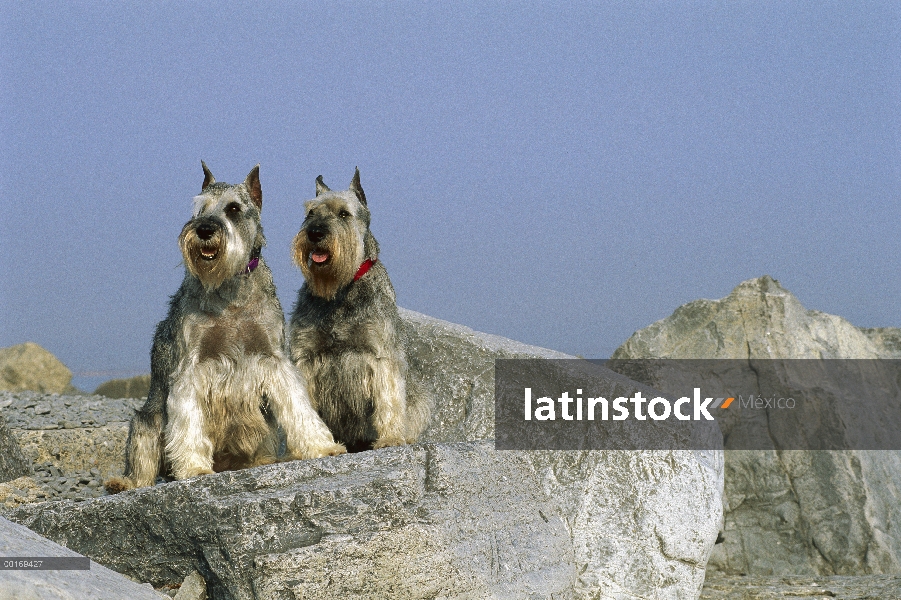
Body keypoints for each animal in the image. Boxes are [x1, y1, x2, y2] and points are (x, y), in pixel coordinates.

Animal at [104, 163, 344, 492]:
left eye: (233, 208)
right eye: (199, 209)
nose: (204, 230)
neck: (230, 291)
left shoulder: (274, 359)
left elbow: (298, 406)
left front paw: (322, 446)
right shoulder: (191, 368)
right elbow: (189, 423)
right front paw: (194, 468)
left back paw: (264, 460)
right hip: (146, 423)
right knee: (142, 464)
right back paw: (123, 482)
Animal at [286, 169, 430, 450]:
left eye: (344, 213)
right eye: (311, 212)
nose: (315, 233)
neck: (339, 290)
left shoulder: (381, 355)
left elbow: (389, 400)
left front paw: (390, 438)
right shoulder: (306, 356)